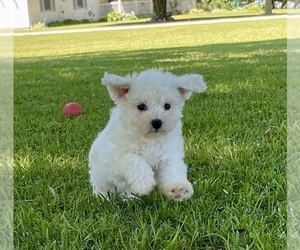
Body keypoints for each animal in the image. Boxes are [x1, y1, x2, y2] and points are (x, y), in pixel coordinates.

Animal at [88, 69, 206, 201]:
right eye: (141, 106)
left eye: (167, 106)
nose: (157, 122)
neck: (149, 139)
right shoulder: (117, 155)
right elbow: (136, 161)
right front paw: (145, 184)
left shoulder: (169, 154)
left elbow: (173, 170)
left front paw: (177, 188)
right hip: (101, 178)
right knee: (104, 189)